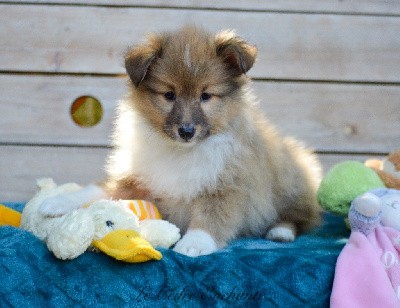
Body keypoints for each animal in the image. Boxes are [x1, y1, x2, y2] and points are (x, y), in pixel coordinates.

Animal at [40, 27, 322, 258]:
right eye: (169, 95)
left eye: (206, 95)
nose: (186, 131)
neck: (183, 152)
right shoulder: (141, 181)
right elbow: (99, 190)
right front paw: (57, 202)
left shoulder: (229, 185)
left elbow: (212, 216)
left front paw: (194, 243)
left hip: (289, 178)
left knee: (301, 216)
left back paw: (280, 232)